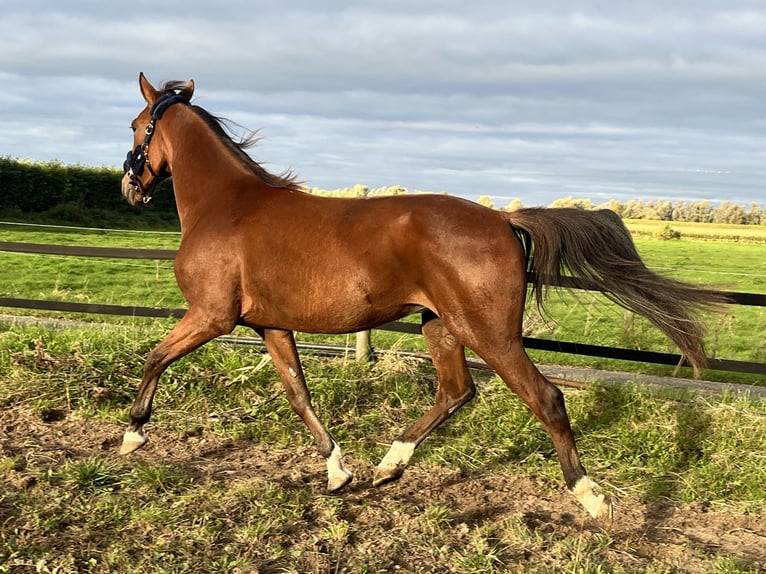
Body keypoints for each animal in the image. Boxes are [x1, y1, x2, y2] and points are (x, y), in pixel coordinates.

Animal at [120, 73, 728, 520]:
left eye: (135, 126)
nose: (130, 188)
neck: (227, 205)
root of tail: (503, 220)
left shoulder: (211, 316)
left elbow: (154, 358)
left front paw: (132, 434)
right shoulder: (270, 324)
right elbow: (299, 395)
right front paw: (338, 471)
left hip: (489, 333)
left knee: (546, 398)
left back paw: (590, 497)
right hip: (441, 326)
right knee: (457, 392)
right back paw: (389, 464)